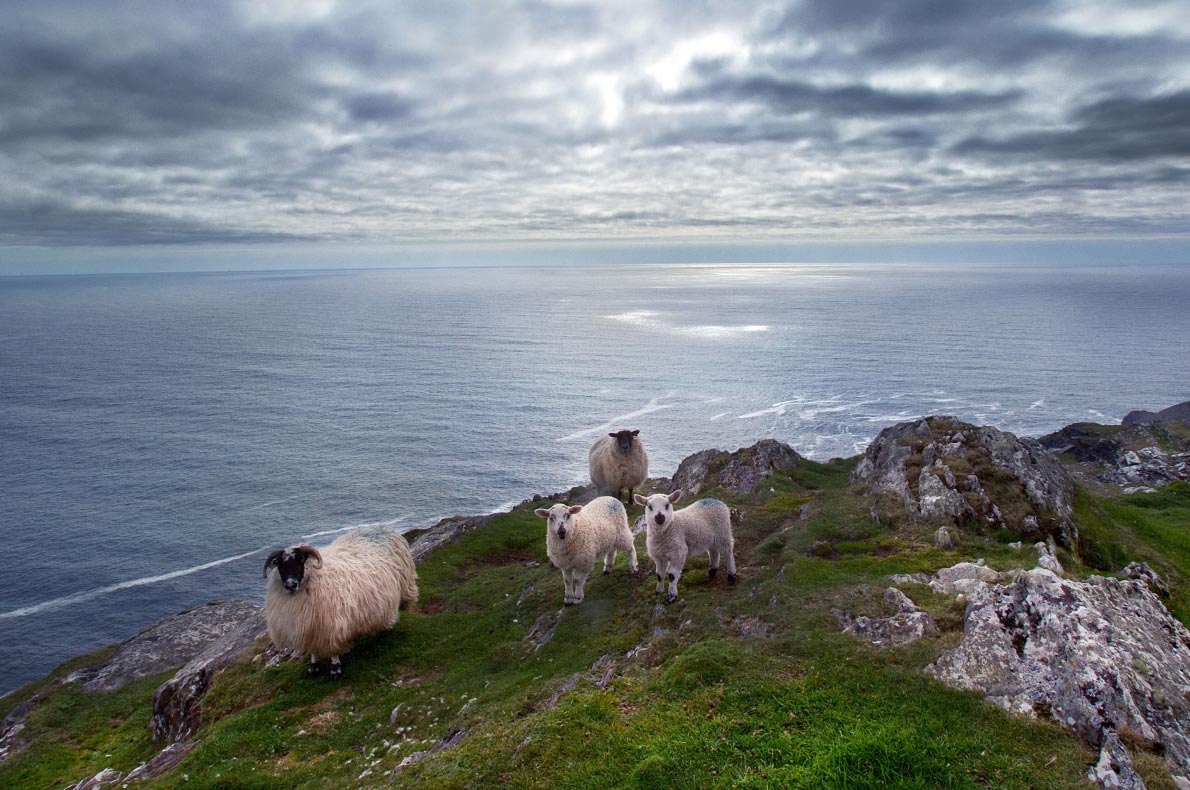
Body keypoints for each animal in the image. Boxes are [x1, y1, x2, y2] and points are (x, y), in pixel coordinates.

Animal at [264, 523, 418, 680]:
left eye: (300, 560)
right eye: (279, 564)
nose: (290, 584)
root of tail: (381, 527)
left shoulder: (331, 624)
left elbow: (333, 650)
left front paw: (335, 668)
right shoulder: (310, 627)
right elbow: (313, 649)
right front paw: (313, 666)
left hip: (404, 586)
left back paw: (388, 628)